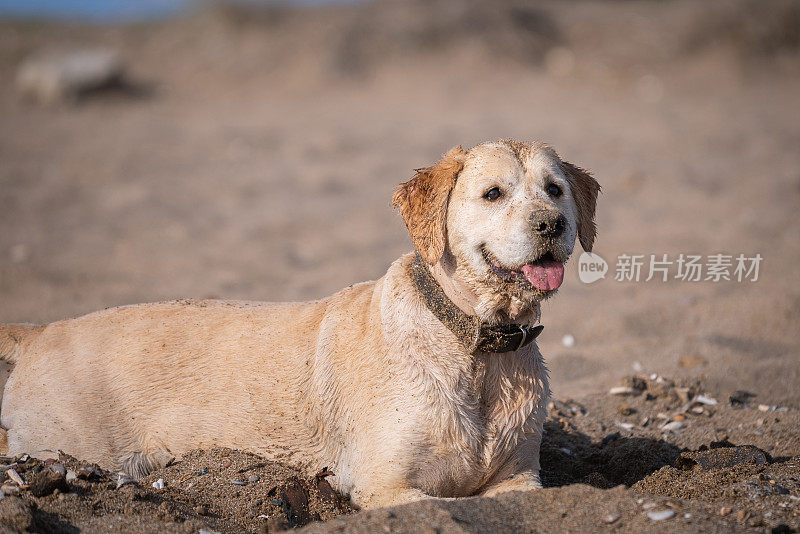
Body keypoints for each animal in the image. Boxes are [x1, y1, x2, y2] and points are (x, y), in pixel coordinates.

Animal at [0, 139, 596, 510]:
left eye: (555, 189)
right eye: (493, 193)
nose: (552, 224)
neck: (477, 348)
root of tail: (39, 332)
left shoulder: (520, 477)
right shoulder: (383, 484)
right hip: (62, 441)